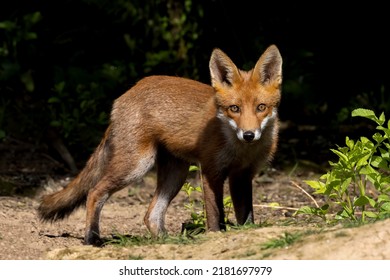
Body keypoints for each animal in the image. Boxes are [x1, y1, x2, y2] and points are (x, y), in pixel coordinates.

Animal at [38, 44, 282, 245]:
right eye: (234, 108)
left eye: (261, 107)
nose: (248, 134)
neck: (242, 151)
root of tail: (127, 94)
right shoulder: (211, 170)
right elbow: (215, 215)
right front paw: (215, 236)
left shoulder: (242, 175)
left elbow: (246, 216)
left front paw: (247, 233)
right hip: (136, 166)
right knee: (94, 192)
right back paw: (92, 239)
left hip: (176, 173)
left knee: (151, 215)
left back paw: (167, 241)